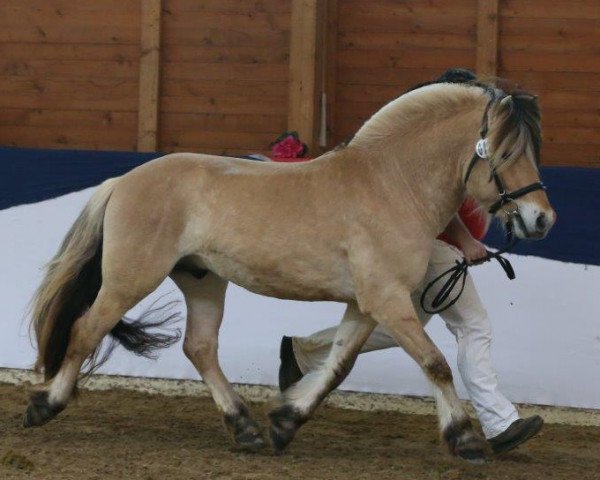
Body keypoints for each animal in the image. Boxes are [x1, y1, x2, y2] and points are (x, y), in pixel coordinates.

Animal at [25, 81, 556, 462]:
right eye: (506, 154)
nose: (541, 219)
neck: (391, 184)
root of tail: (122, 181)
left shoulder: (365, 305)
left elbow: (337, 366)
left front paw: (285, 423)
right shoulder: (387, 300)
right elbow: (435, 363)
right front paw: (465, 439)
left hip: (203, 281)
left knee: (199, 348)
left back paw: (245, 429)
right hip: (130, 279)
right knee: (85, 329)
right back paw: (45, 405)